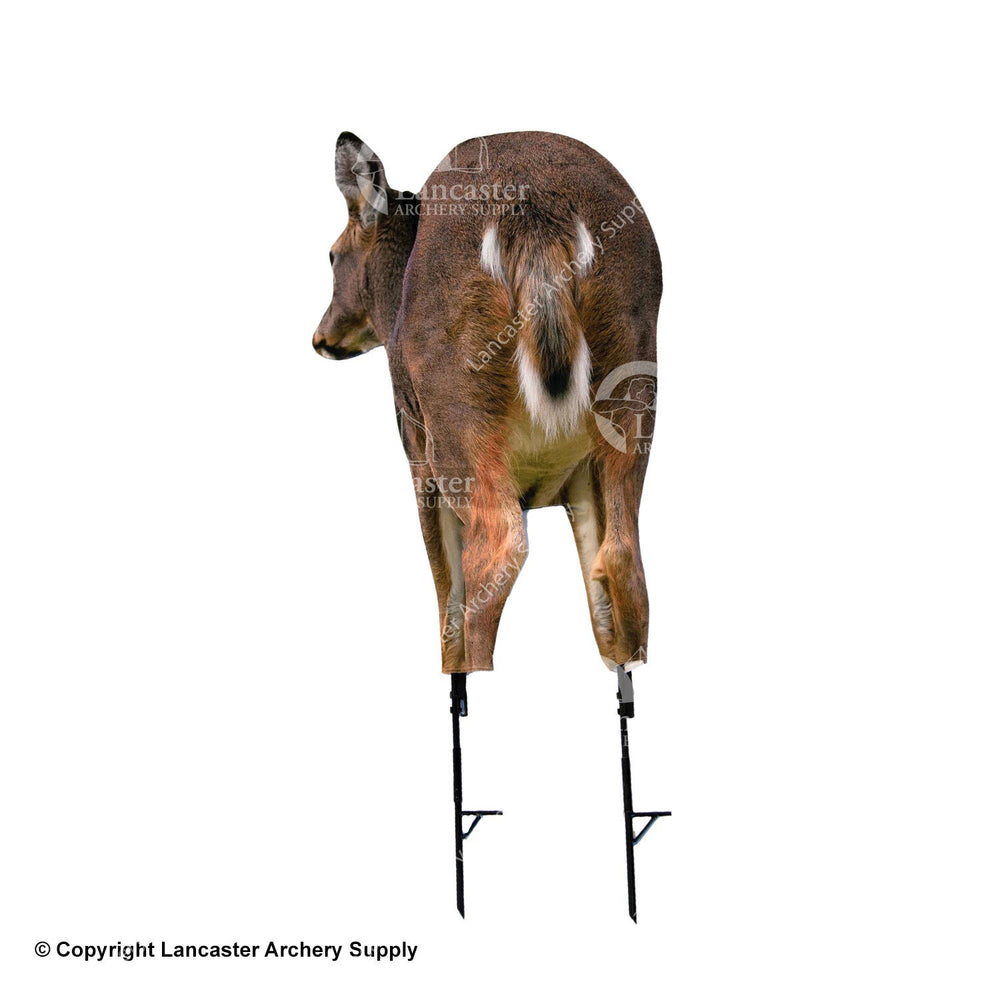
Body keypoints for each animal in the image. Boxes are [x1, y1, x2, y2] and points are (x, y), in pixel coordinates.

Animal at [312, 131, 667, 920]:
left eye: (331, 255)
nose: (320, 339)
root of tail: (534, 212)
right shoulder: (575, 484)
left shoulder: (415, 451)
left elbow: (443, 586)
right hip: (633, 398)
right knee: (624, 569)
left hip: (455, 413)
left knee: (497, 555)